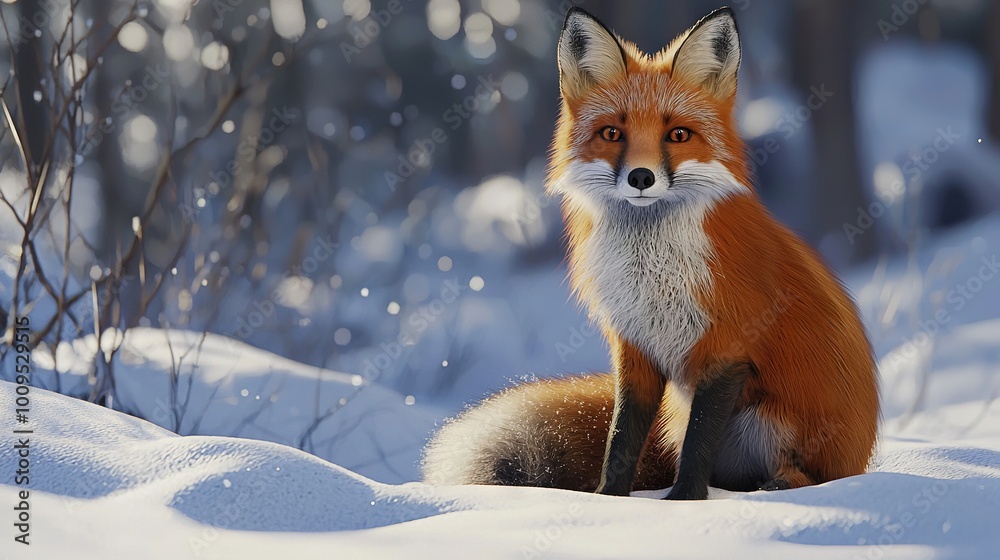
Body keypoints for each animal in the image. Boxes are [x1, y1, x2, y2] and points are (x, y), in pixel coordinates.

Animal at [422, 7, 879, 500]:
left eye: (678, 134)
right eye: (612, 133)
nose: (641, 177)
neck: (652, 272)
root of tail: (862, 456)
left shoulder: (726, 346)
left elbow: (699, 440)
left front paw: (683, 501)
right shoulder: (634, 346)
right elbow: (622, 436)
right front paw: (611, 500)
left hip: (769, 420)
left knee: (806, 474)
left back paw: (779, 484)